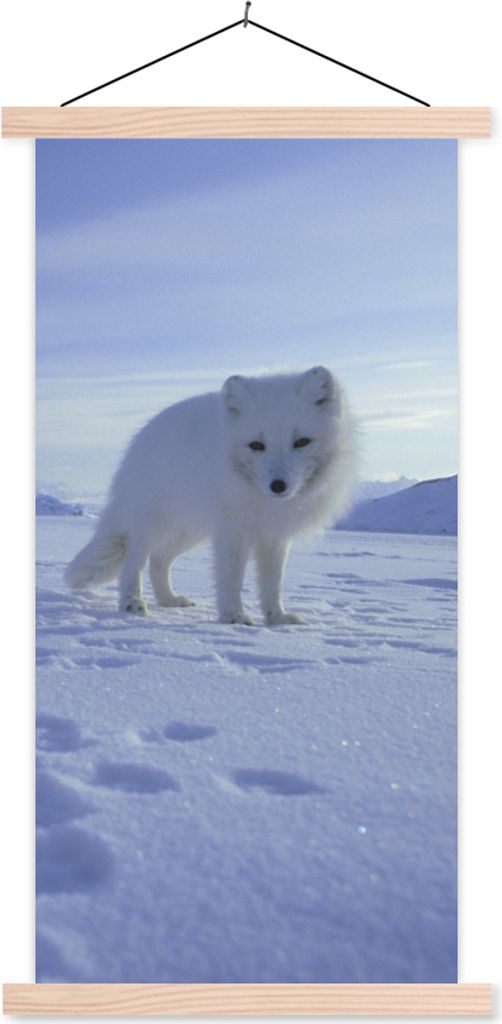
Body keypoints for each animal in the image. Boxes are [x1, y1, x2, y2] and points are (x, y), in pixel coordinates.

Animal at [65, 366, 357, 625]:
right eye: (256, 445)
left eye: (301, 442)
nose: (278, 485)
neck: (263, 500)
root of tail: (142, 437)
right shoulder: (233, 531)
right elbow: (231, 579)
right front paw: (234, 616)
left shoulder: (274, 536)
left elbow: (273, 584)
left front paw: (277, 618)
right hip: (155, 523)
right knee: (135, 558)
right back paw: (132, 602)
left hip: (190, 530)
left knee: (159, 559)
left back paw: (168, 599)